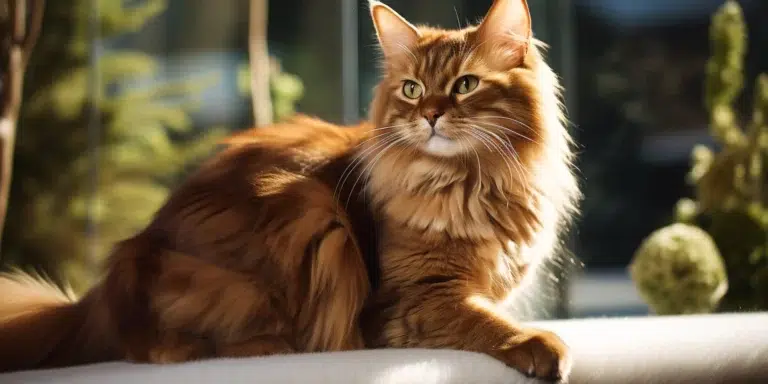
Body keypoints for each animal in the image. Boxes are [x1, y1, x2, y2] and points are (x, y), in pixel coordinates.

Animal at [0, 0, 576, 380]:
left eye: (465, 85)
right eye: (412, 90)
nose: (430, 115)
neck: (472, 184)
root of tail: (122, 266)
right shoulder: (414, 299)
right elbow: (487, 322)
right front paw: (540, 344)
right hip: (311, 216)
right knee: (168, 349)